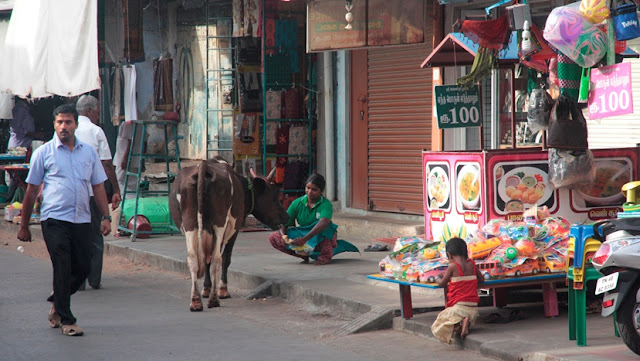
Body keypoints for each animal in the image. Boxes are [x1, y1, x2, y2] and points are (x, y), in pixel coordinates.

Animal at [170, 156, 290, 310]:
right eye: (273, 196)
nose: (287, 217)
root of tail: (203, 166)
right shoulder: (234, 229)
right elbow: (225, 258)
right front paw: (222, 290)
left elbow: (207, 259)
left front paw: (206, 289)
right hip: (219, 223)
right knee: (217, 259)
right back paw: (214, 299)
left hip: (190, 224)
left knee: (193, 259)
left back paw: (196, 301)